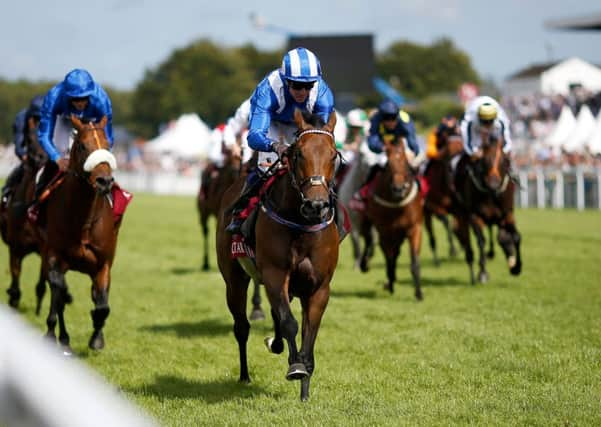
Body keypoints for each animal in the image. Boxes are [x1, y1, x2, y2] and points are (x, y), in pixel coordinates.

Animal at [35, 115, 121, 356]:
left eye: (107, 145)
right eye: (82, 145)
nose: (104, 181)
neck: (83, 220)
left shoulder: (103, 264)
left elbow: (102, 305)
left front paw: (97, 338)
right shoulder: (53, 256)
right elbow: (58, 290)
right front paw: (52, 334)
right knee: (58, 297)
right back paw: (61, 337)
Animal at [214, 109, 338, 402]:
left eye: (333, 155)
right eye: (299, 154)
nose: (316, 205)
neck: (301, 225)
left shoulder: (319, 286)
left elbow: (309, 332)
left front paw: (305, 389)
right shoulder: (274, 274)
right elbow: (289, 322)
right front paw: (296, 368)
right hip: (234, 279)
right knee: (242, 326)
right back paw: (245, 375)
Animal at [358, 139, 424, 300]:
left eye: (405, 163)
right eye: (388, 165)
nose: (399, 189)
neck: (397, 205)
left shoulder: (414, 228)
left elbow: (414, 261)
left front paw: (419, 293)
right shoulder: (385, 231)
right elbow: (389, 258)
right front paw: (390, 282)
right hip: (368, 222)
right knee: (369, 240)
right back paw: (365, 264)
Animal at [454, 135, 520, 286]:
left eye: (504, 161)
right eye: (484, 161)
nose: (493, 184)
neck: (491, 195)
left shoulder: (507, 214)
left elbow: (515, 237)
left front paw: (516, 268)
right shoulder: (475, 216)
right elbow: (481, 241)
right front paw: (483, 273)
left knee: (501, 237)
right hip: (462, 214)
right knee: (467, 241)